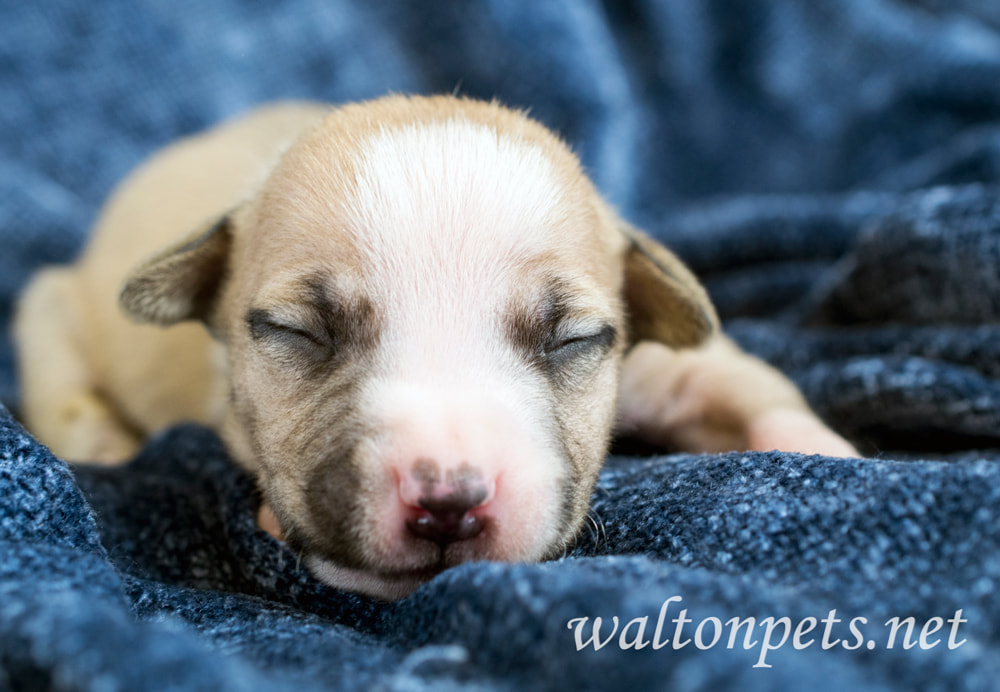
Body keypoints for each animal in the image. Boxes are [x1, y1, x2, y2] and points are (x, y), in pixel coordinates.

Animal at [13, 96, 860, 600]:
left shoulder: (653, 356)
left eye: (571, 340)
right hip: (51, 306)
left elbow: (739, 384)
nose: (449, 501)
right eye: (298, 332)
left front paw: (829, 455)